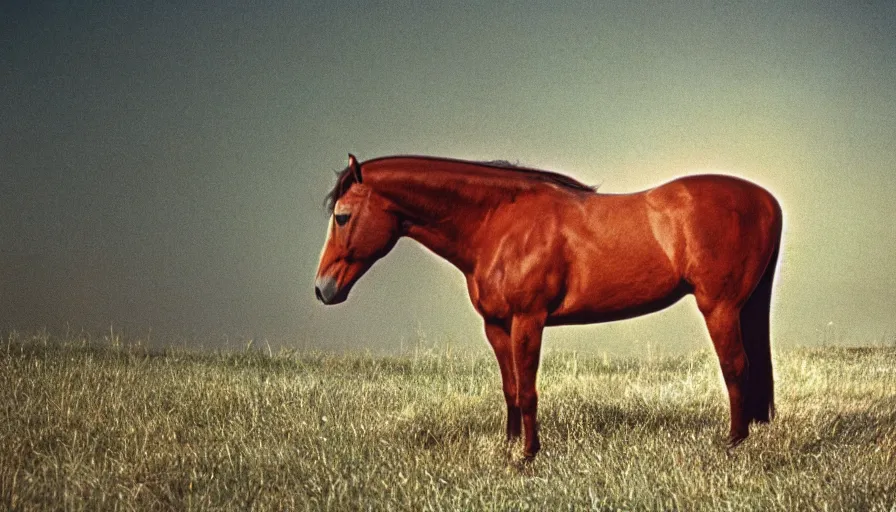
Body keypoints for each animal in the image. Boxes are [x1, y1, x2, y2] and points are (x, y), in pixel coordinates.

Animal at [316, 154, 784, 458]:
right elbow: (509, 388)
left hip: (719, 307)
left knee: (735, 367)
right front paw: (507, 448)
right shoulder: (497, 326)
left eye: (342, 216)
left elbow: (528, 390)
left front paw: (528, 455)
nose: (323, 289)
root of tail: (768, 201)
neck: (499, 225)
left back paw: (733, 442)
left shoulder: (529, 321)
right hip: (745, 307)